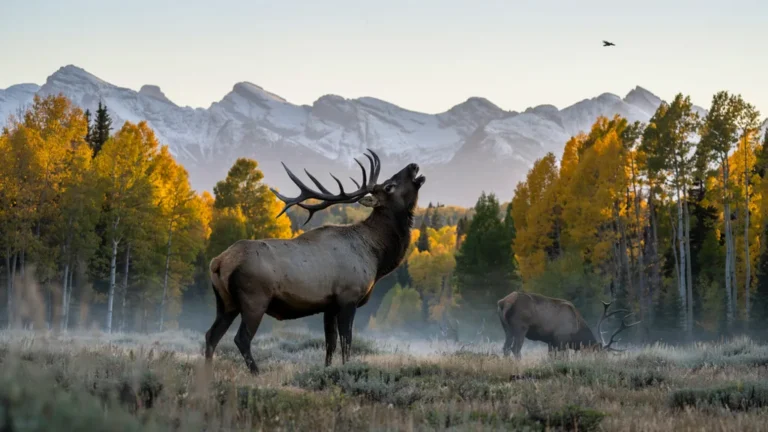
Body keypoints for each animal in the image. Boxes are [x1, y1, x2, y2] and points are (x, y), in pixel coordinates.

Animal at [204, 149, 425, 374]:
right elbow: (347, 343)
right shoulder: (348, 297)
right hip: (254, 299)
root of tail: (218, 263)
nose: (413, 166)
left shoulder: (330, 305)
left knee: (211, 336)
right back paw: (256, 373)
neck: (376, 256)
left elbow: (331, 344)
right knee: (241, 338)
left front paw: (327, 369)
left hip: (225, 302)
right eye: (389, 186)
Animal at [497, 291, 639, 359]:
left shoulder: (551, 341)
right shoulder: (561, 339)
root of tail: (504, 302)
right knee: (515, 349)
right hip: (520, 327)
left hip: (506, 328)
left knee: (505, 348)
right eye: (599, 355)